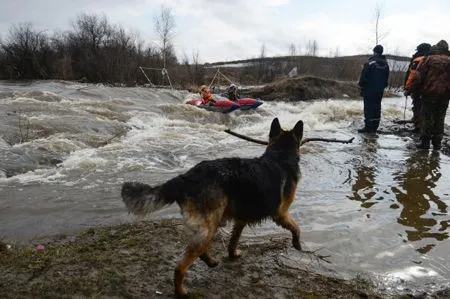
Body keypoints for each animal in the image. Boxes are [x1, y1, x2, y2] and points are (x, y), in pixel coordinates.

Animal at [121, 118, 304, 298]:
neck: (280, 155)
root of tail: (184, 178)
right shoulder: (281, 214)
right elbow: (296, 227)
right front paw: (297, 244)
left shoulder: (241, 218)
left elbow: (234, 239)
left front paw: (232, 254)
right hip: (210, 223)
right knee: (180, 266)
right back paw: (181, 291)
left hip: (209, 223)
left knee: (197, 249)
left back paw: (210, 262)